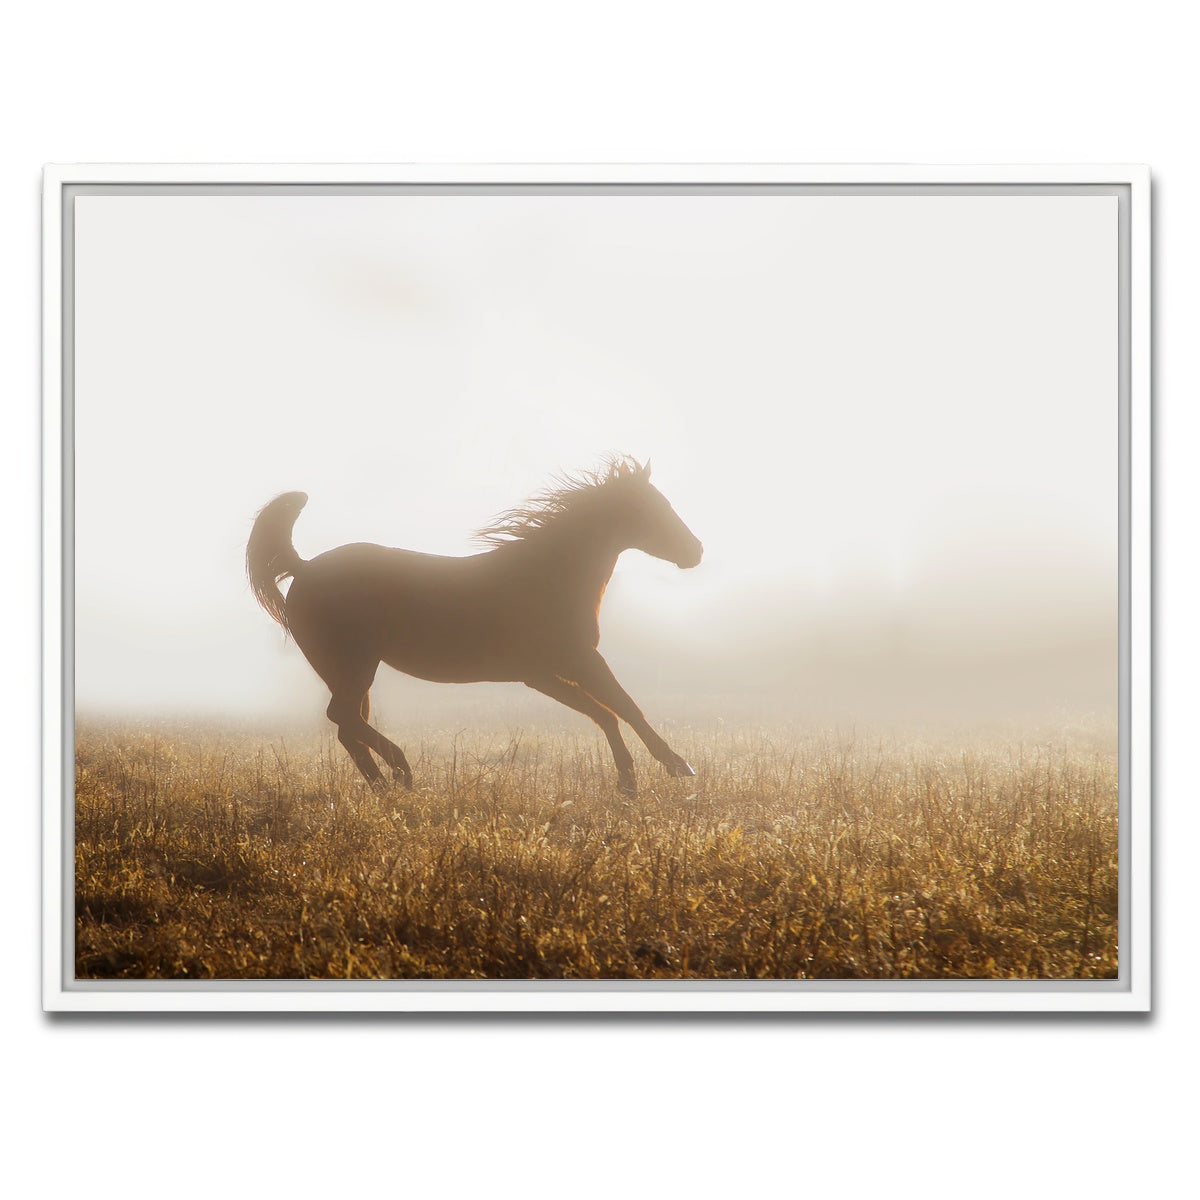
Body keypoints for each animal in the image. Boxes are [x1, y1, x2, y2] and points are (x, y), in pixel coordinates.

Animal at [246, 457, 703, 796]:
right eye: (652, 508)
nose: (695, 551)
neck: (547, 577)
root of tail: (304, 567)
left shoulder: (545, 672)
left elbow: (605, 712)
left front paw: (630, 781)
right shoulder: (570, 662)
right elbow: (622, 706)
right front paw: (675, 766)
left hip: (346, 671)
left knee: (347, 727)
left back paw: (386, 788)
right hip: (356, 666)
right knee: (343, 718)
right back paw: (403, 772)